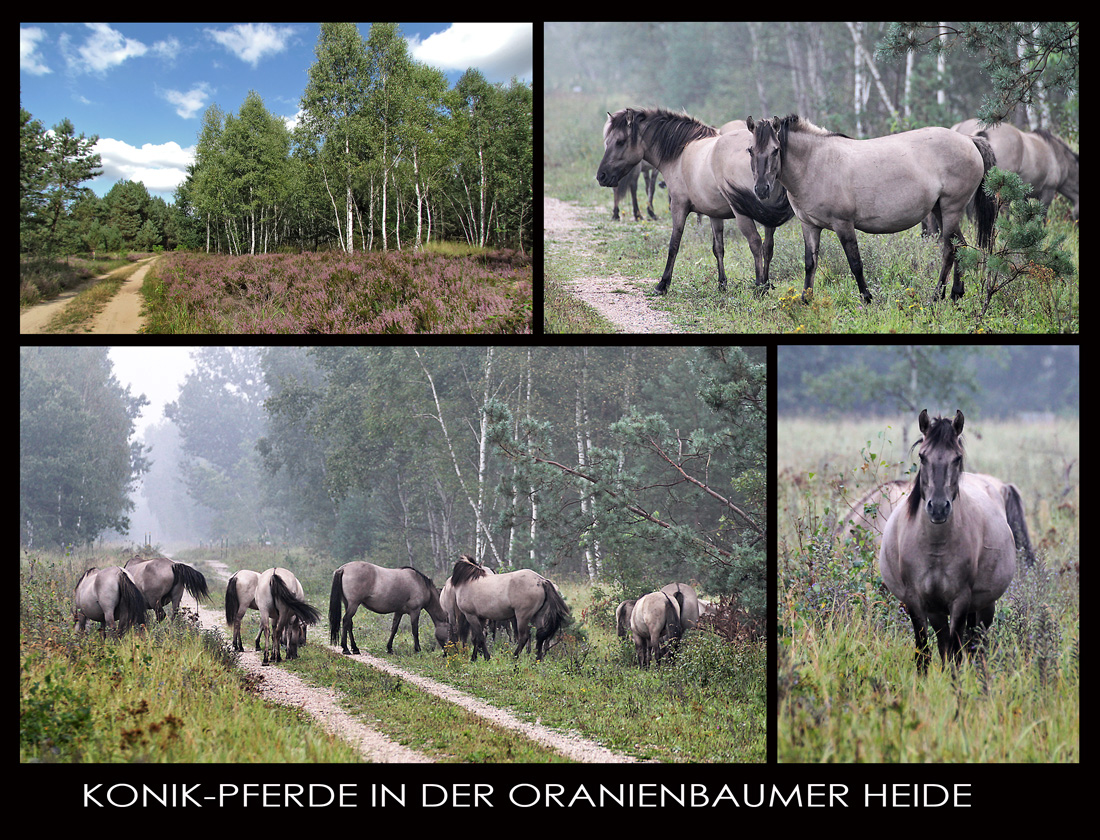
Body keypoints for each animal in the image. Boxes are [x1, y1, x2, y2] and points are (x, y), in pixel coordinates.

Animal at [598, 106, 796, 294]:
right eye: (606, 141)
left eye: (620, 141)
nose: (601, 176)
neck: (680, 152)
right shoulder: (715, 214)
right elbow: (718, 248)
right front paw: (722, 284)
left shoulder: (678, 206)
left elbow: (674, 244)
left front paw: (663, 284)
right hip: (766, 215)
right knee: (768, 247)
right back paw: (766, 283)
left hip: (743, 215)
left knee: (755, 243)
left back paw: (759, 287)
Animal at [880, 411, 1016, 672]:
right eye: (922, 456)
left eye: (957, 457)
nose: (938, 508)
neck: (936, 549)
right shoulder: (916, 601)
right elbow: (924, 652)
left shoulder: (961, 600)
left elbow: (956, 654)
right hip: (937, 610)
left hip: (984, 606)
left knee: (976, 647)